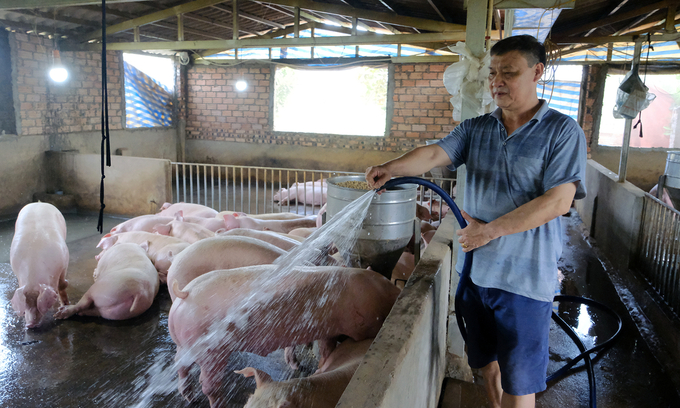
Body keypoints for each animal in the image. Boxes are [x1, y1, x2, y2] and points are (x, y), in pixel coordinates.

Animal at [9, 202, 69, 330]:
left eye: (38, 302)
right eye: (25, 305)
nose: (30, 325)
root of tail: (39, 202)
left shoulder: (64, 262)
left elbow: (62, 284)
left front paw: (65, 305)